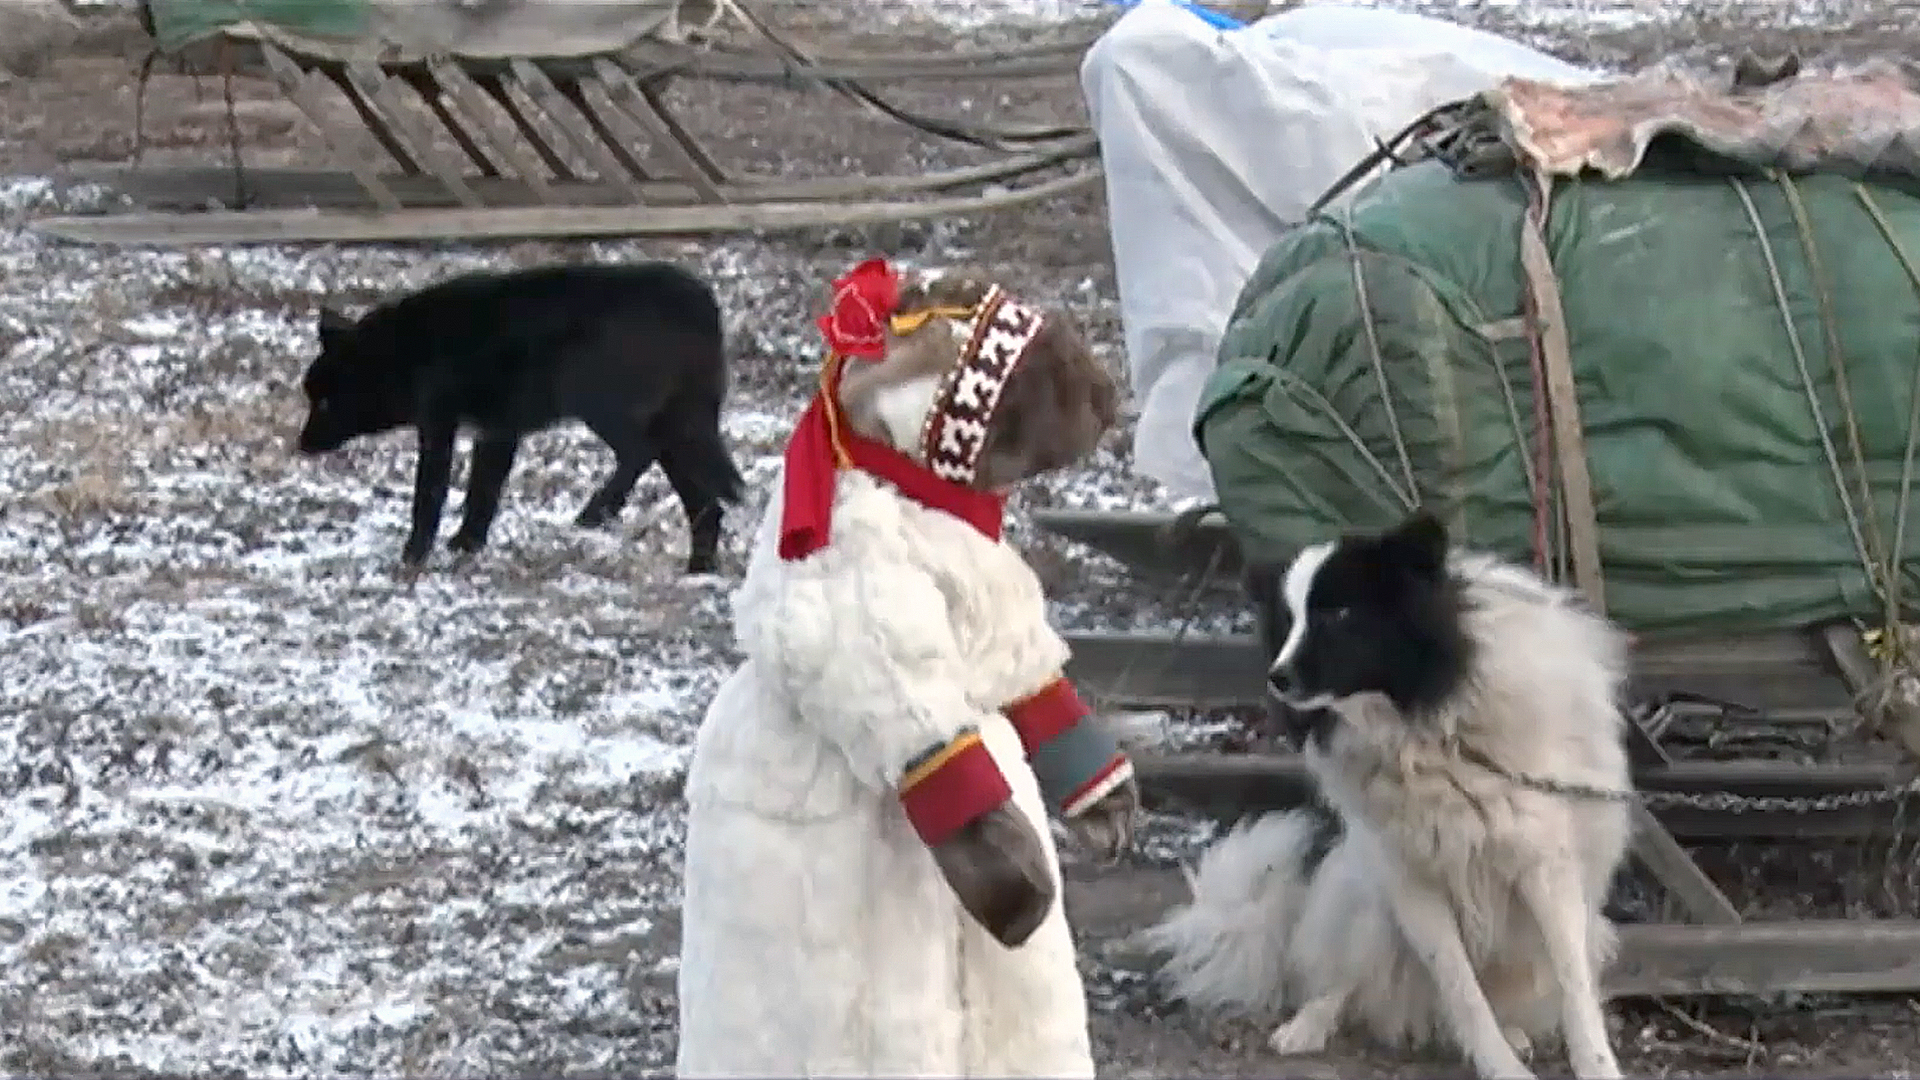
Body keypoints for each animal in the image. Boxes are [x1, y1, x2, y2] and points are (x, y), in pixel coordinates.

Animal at [295, 261, 744, 572]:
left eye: (326, 403)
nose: (301, 446)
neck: (408, 350)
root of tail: (704, 304)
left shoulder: (440, 427)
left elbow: (430, 495)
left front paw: (414, 556)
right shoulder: (497, 431)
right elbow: (483, 491)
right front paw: (467, 545)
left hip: (604, 408)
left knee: (639, 453)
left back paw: (594, 513)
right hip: (676, 431)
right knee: (707, 505)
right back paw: (698, 571)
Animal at [1136, 507, 1635, 1076]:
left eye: (1339, 613)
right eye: (1287, 622)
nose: (1276, 678)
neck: (1423, 727)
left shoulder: (1545, 869)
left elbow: (1575, 987)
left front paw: (1593, 1065)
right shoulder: (1412, 884)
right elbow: (1460, 988)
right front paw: (1500, 1067)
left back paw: (1511, 1032)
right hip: (1364, 898)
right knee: (1342, 977)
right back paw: (1308, 1023)